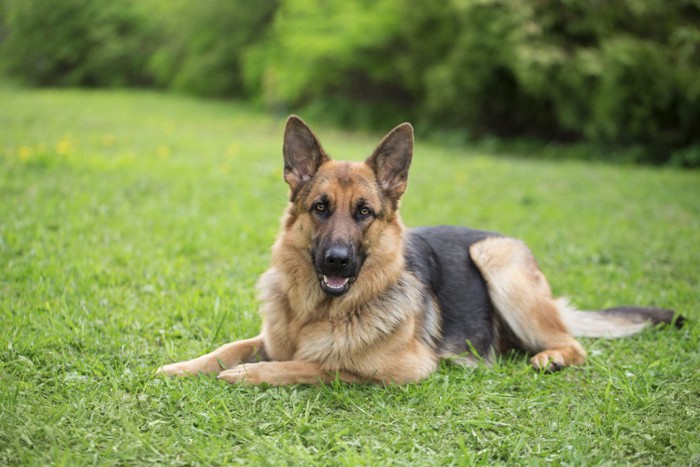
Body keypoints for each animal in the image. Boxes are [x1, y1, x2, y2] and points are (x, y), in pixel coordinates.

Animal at [156, 116, 680, 384]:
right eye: (320, 208)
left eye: (364, 212)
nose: (336, 260)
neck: (317, 312)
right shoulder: (271, 336)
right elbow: (229, 348)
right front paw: (181, 367)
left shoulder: (399, 371)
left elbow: (315, 365)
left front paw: (249, 375)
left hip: (496, 260)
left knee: (573, 344)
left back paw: (550, 357)